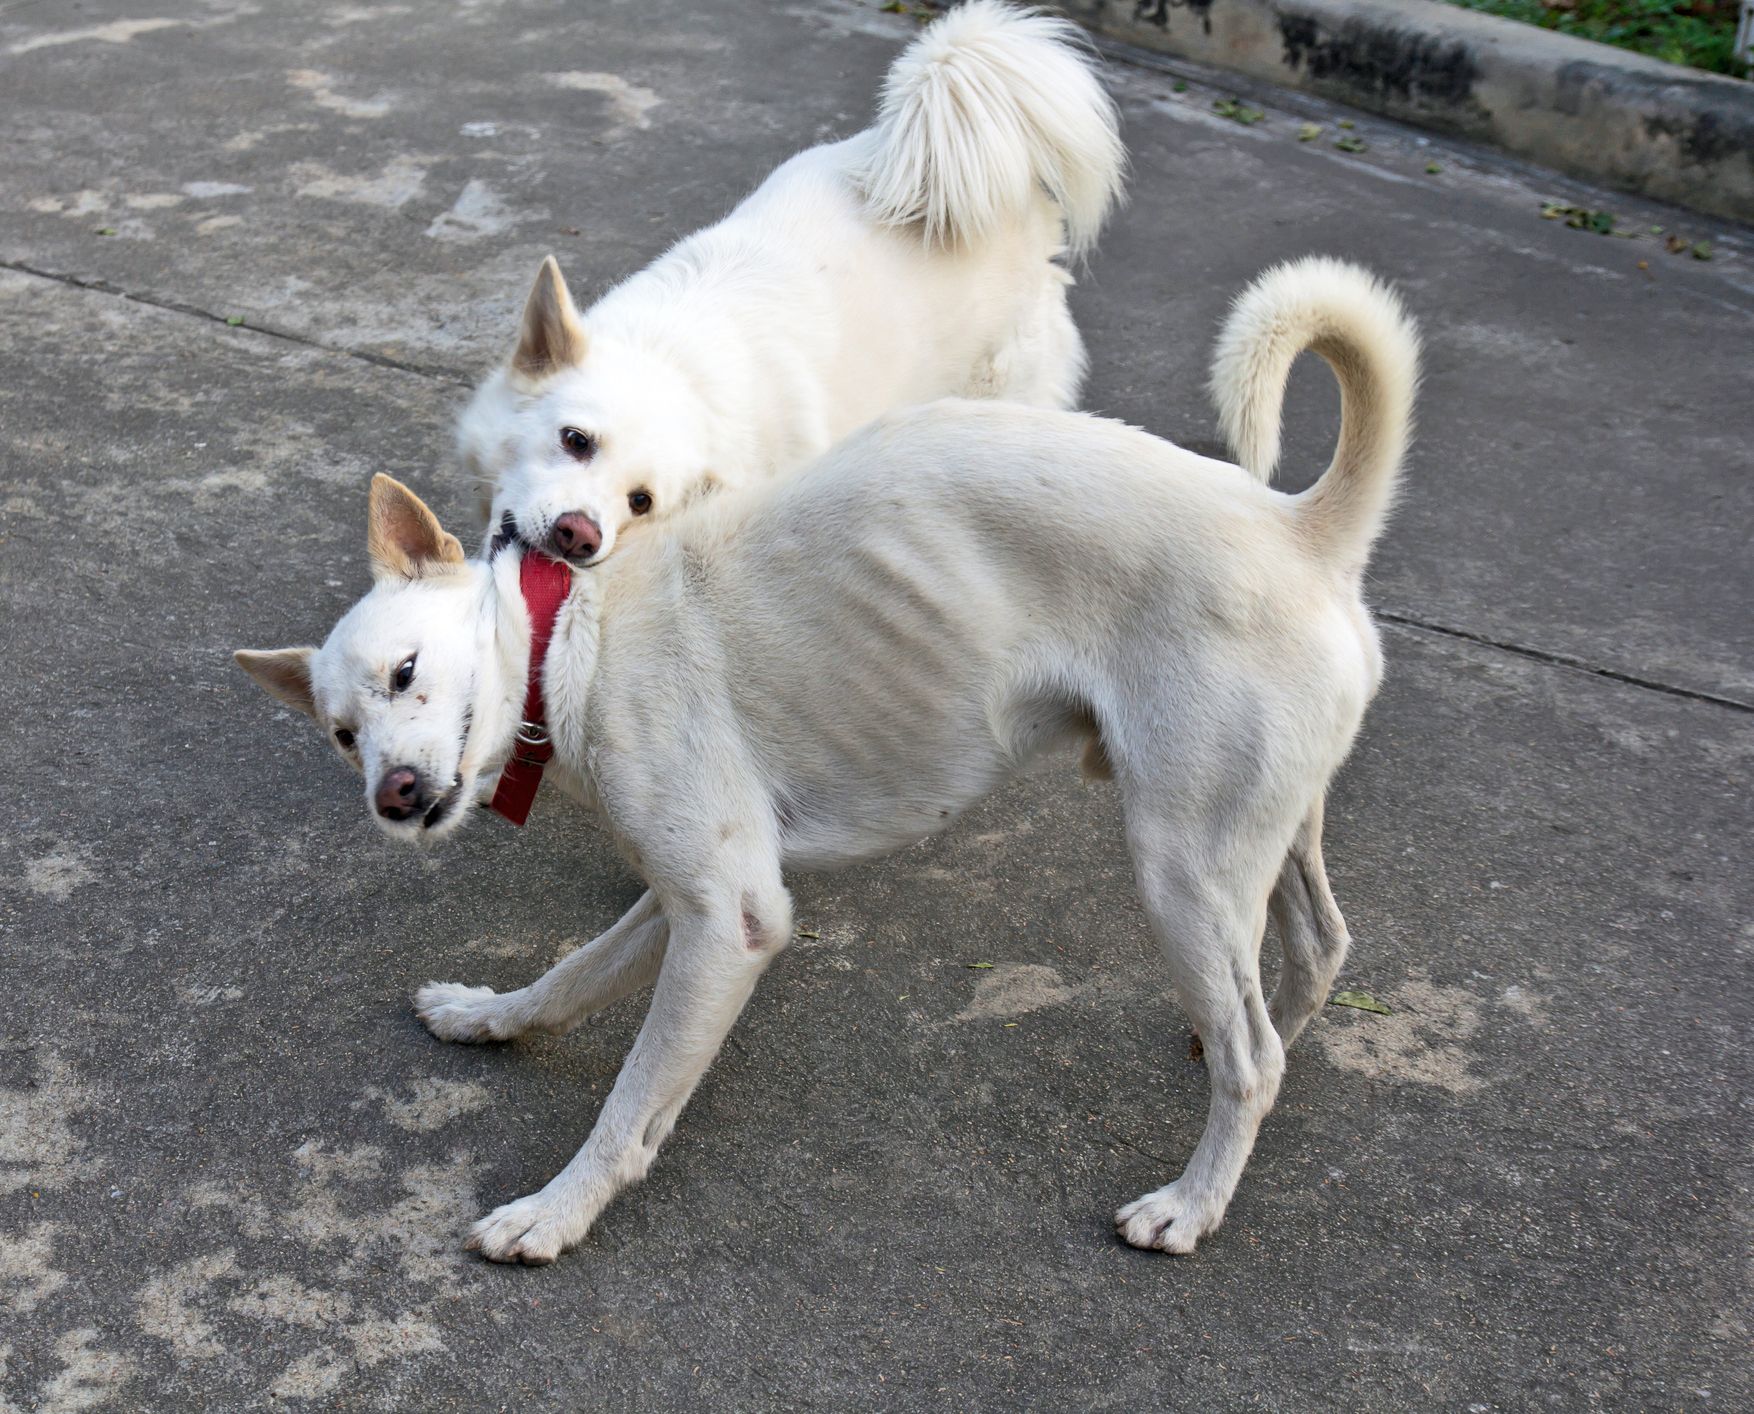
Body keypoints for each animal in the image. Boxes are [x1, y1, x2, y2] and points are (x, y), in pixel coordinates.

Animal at [240, 257, 1417, 1270]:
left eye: (406, 672)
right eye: (339, 735)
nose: (392, 796)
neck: (577, 633)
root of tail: (1303, 528)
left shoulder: (733, 921)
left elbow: (629, 1107)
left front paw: (554, 1213)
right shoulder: (689, 894)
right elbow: (569, 977)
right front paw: (486, 1018)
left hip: (1180, 866)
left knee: (1256, 1056)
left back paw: (1191, 1203)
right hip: (1259, 834)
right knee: (1313, 953)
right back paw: (1236, 1060)